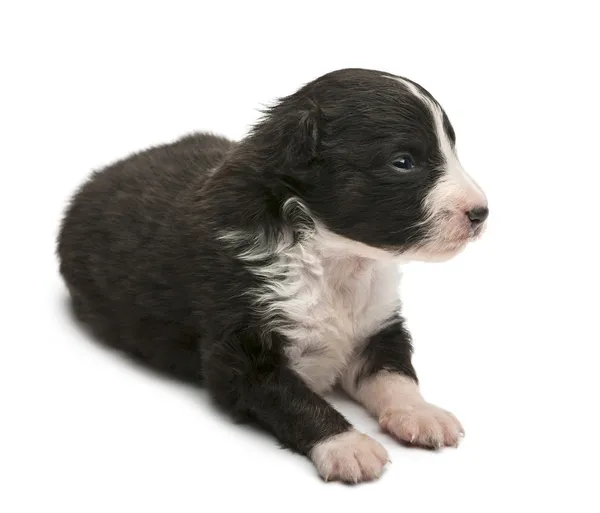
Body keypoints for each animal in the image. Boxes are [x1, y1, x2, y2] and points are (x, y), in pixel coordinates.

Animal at [57, 69, 488, 484]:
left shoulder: (377, 323)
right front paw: (347, 445)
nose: (481, 212)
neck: (336, 259)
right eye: (403, 161)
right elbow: (295, 399)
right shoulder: (241, 351)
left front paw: (422, 413)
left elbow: (396, 373)